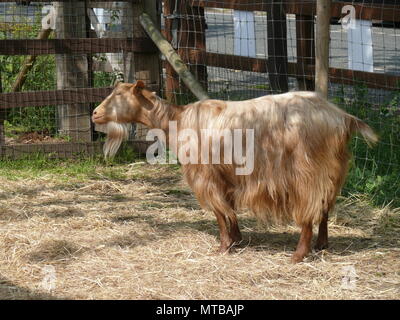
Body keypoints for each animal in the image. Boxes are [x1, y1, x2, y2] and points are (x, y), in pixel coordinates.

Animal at [92, 81, 376, 264]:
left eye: (119, 95)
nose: (94, 114)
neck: (178, 121)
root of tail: (342, 117)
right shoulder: (225, 175)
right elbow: (229, 208)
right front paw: (237, 239)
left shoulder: (205, 176)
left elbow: (219, 212)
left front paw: (223, 247)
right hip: (334, 171)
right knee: (325, 207)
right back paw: (321, 245)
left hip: (306, 172)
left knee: (308, 210)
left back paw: (298, 255)